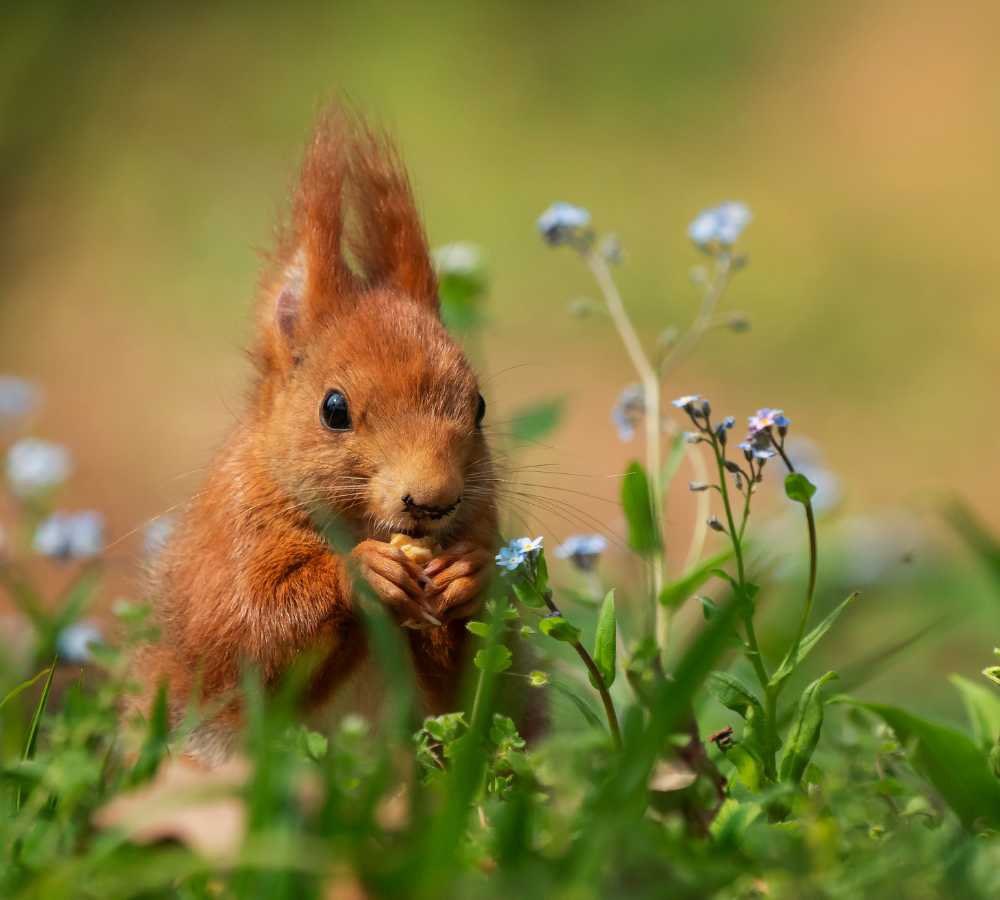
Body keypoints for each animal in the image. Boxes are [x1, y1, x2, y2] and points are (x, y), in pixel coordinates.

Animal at [127, 107, 498, 768]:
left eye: (478, 406)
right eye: (334, 409)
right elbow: (243, 635)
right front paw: (362, 574)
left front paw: (468, 575)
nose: (433, 501)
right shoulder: (228, 540)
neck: (354, 524)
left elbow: (463, 689)